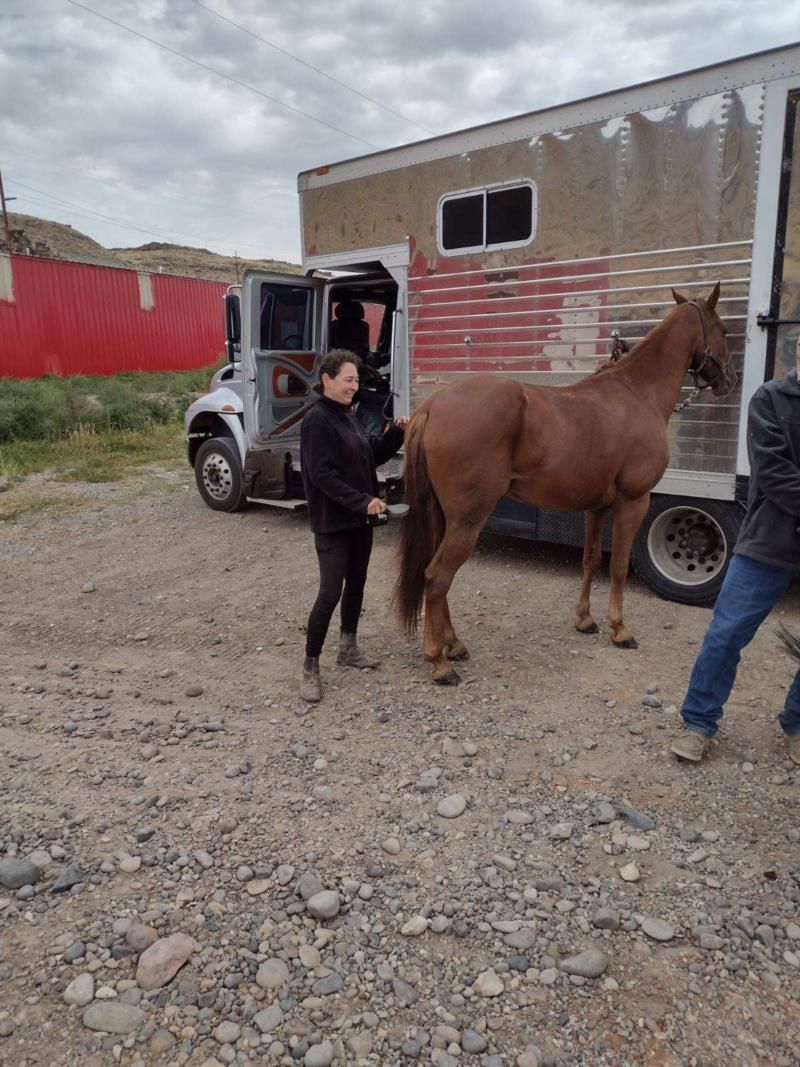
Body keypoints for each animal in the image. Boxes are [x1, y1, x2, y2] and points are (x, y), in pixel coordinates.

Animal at [394, 284, 738, 685]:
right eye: (724, 329)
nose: (729, 381)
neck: (637, 393)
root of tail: (432, 406)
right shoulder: (633, 501)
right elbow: (619, 566)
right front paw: (620, 629)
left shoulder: (596, 507)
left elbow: (591, 560)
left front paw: (585, 620)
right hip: (468, 520)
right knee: (437, 577)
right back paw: (439, 662)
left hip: (445, 518)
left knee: (437, 576)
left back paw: (454, 644)